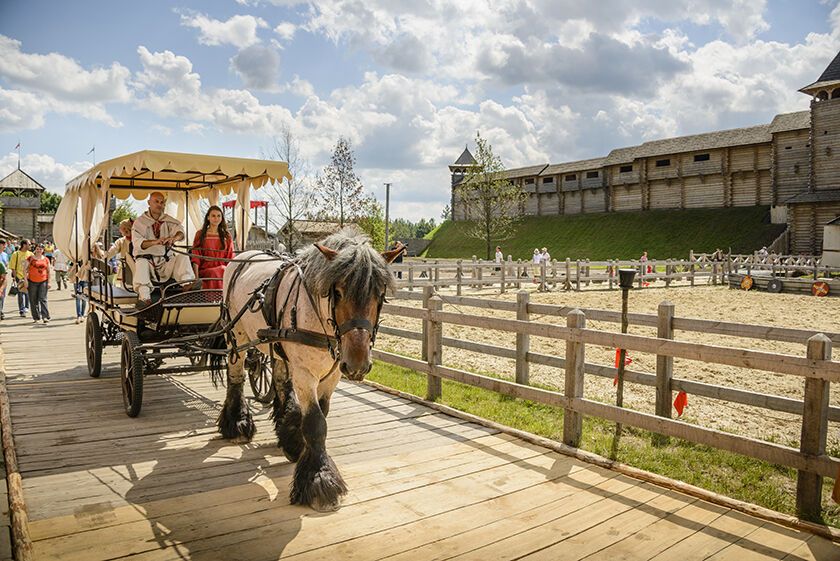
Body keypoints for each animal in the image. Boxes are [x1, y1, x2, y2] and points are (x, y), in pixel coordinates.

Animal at [213, 230, 404, 510]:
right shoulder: (305, 372)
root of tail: (244, 255)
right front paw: (320, 480)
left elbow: (319, 415)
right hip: (236, 336)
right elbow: (316, 423)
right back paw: (237, 422)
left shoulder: (332, 375)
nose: (357, 364)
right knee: (235, 374)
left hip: (276, 344)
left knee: (280, 380)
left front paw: (294, 439)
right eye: (337, 292)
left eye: (380, 294)